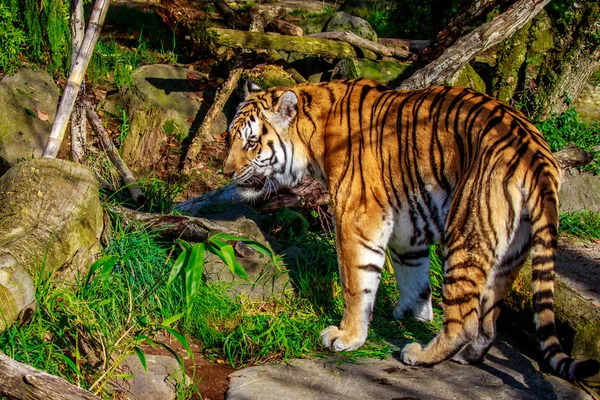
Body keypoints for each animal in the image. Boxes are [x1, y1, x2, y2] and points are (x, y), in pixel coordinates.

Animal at [221, 78, 600, 382]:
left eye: (252, 142)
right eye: (231, 138)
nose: (226, 172)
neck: (315, 136)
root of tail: (536, 151)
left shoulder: (356, 216)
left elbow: (355, 282)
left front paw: (347, 336)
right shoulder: (406, 224)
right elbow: (412, 274)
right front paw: (412, 314)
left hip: (467, 231)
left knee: (464, 321)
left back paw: (420, 355)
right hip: (511, 251)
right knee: (490, 319)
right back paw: (466, 356)